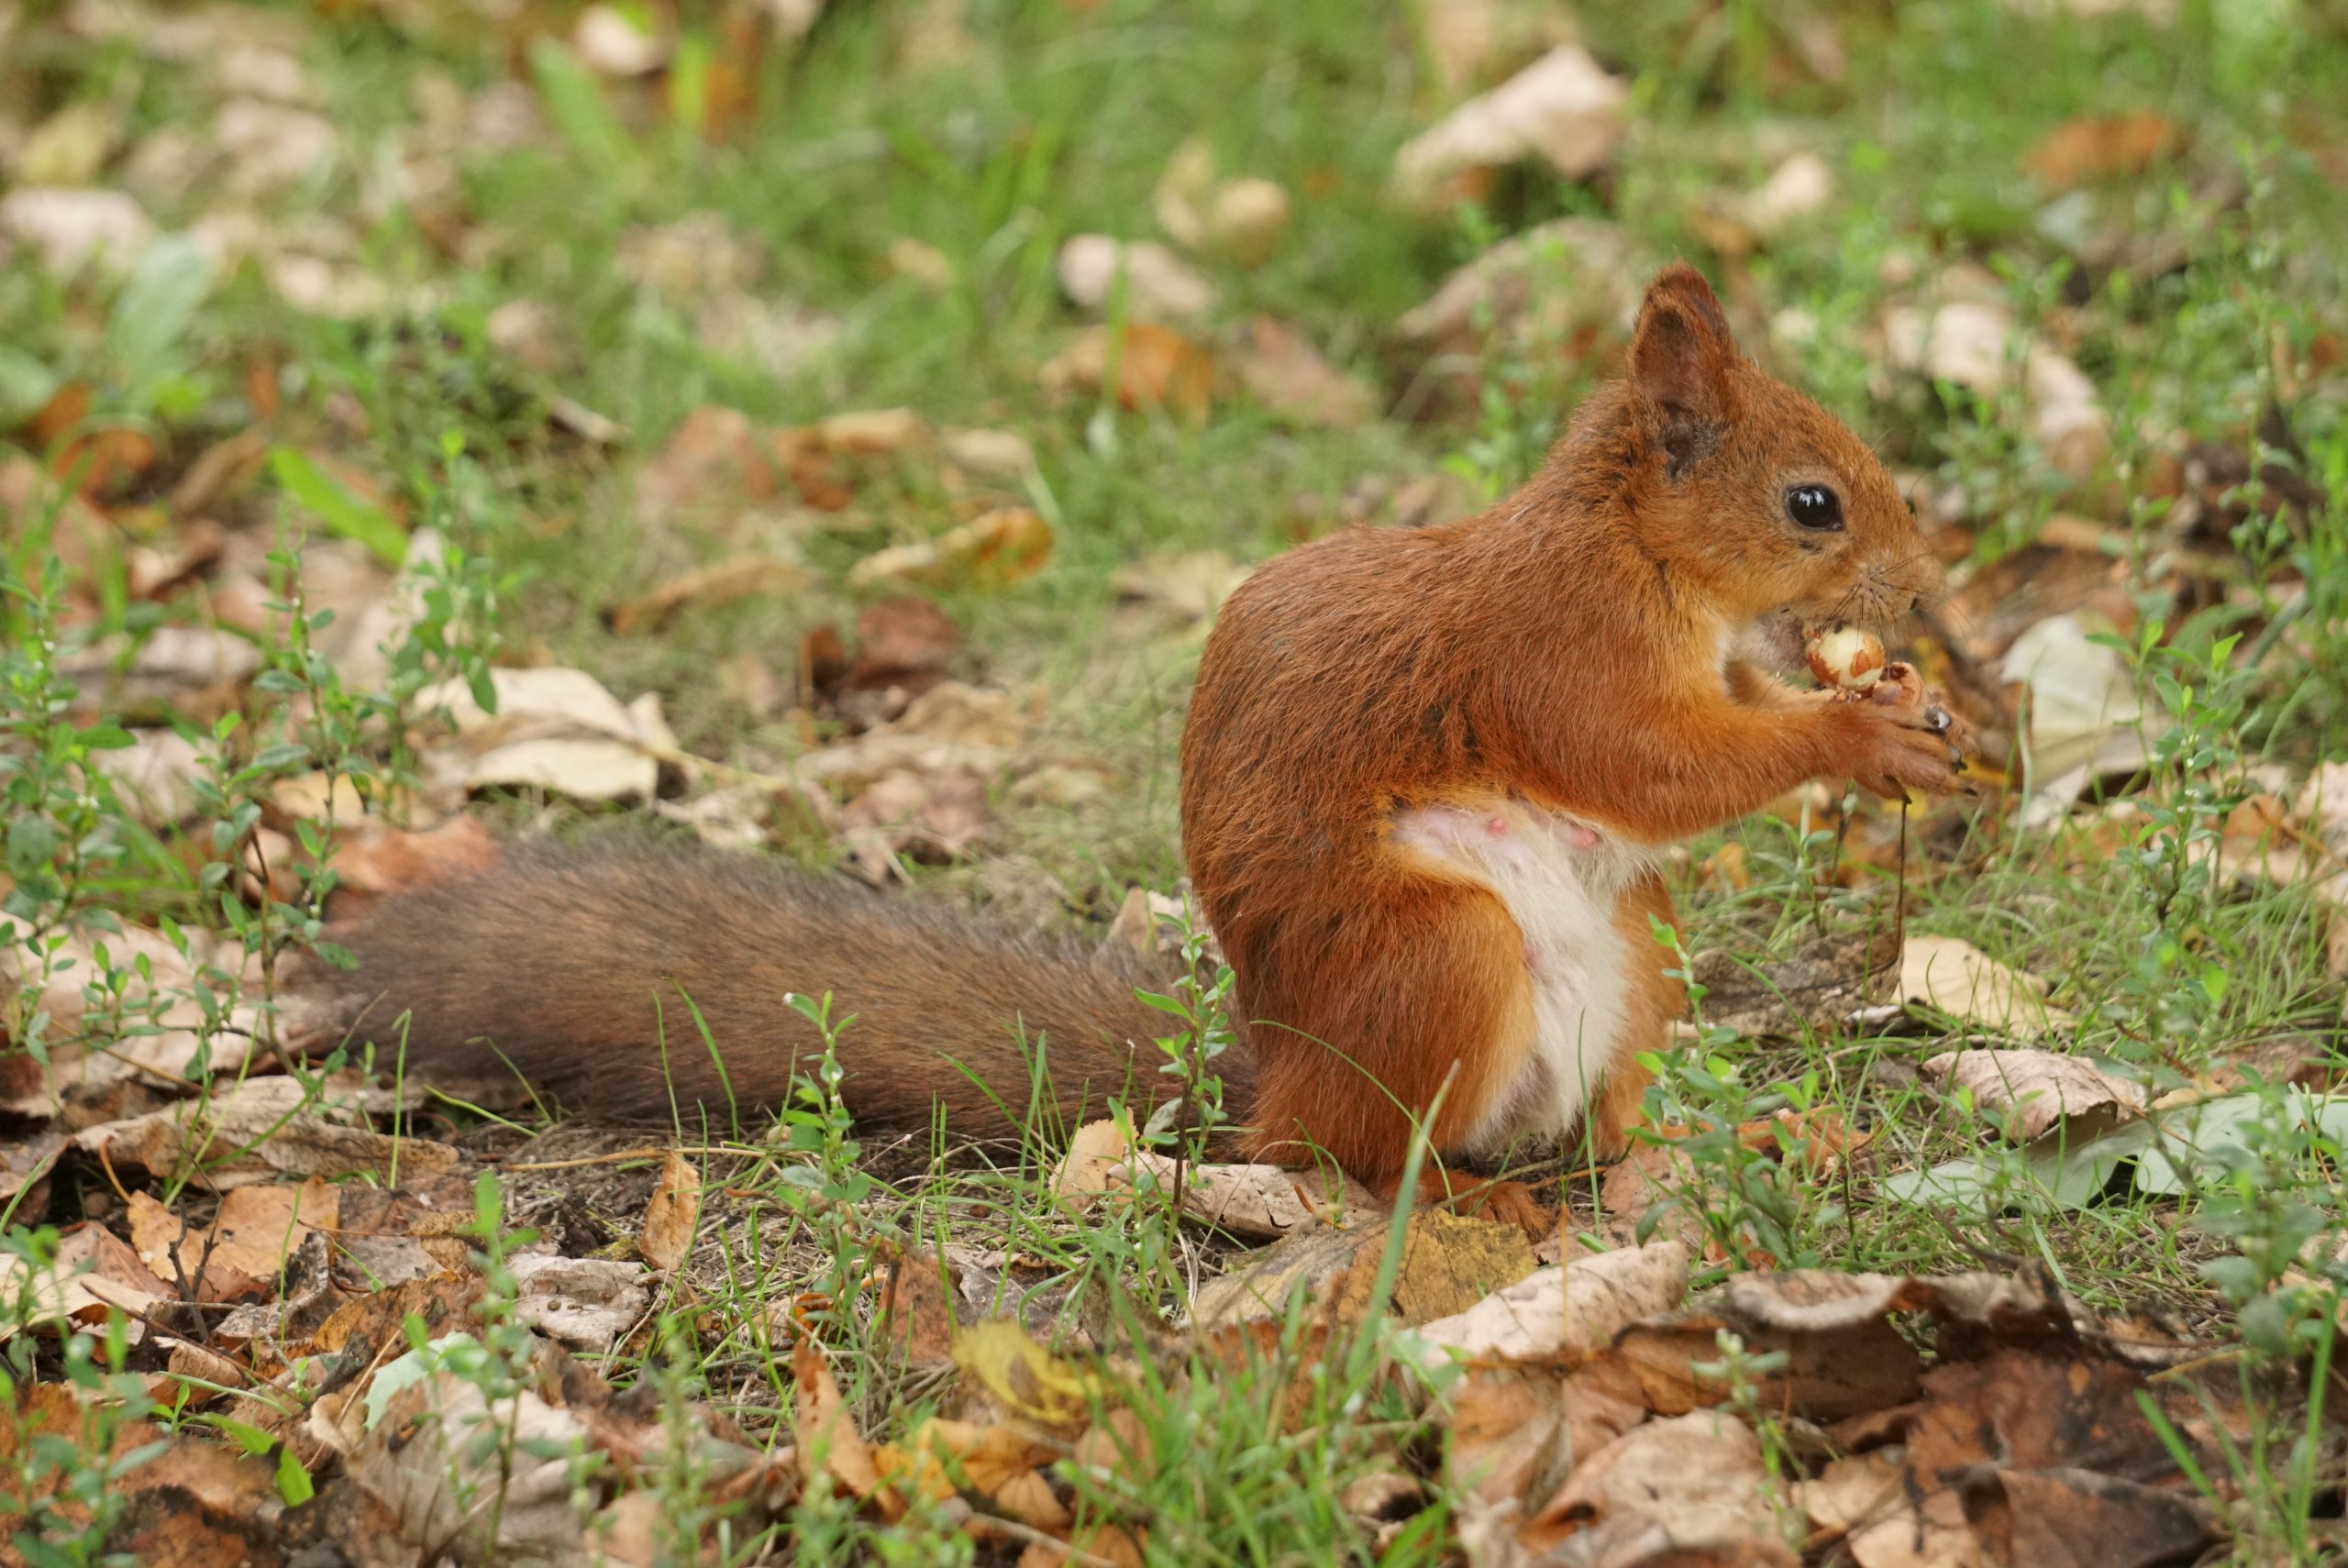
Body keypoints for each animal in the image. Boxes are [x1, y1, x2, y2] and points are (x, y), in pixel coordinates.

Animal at [294, 266, 1953, 1220]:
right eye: (1814, 503)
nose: (1921, 588)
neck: (1647, 555)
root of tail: (1271, 1078)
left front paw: (1899, 710)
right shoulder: (1557, 648)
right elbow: (1648, 763)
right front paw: (1860, 732)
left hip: (1637, 949)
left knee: (1597, 1116)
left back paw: (1694, 1152)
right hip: (1436, 957)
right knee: (1353, 1161)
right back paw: (1459, 1201)